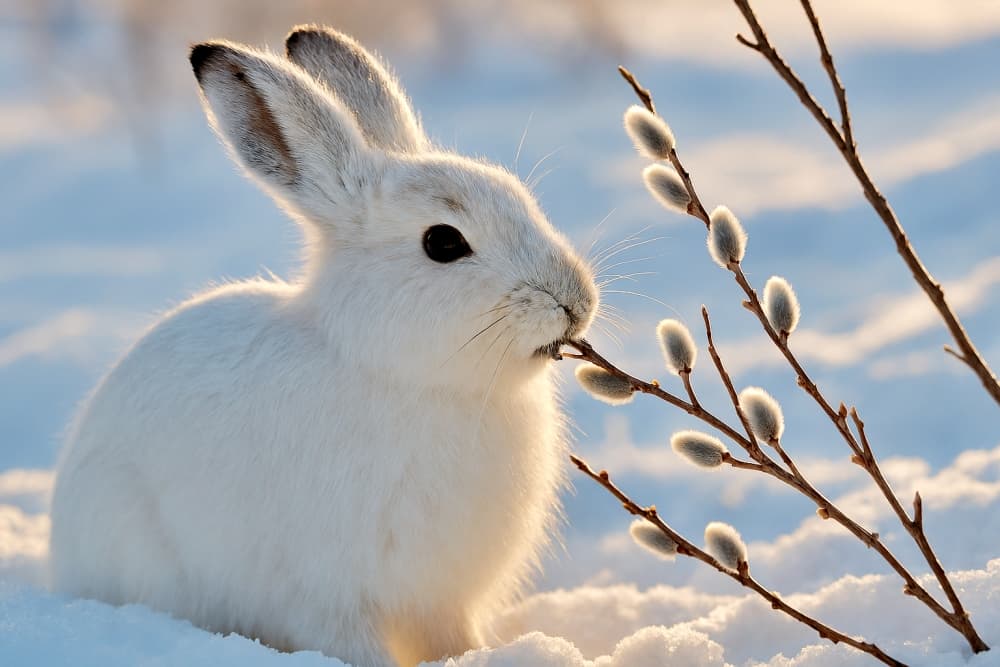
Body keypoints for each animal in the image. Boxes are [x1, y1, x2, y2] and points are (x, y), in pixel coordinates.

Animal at [48, 25, 598, 667]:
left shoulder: (440, 596)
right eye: (443, 242)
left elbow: (452, 637)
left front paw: (478, 654)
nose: (576, 301)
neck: (403, 376)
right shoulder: (328, 591)